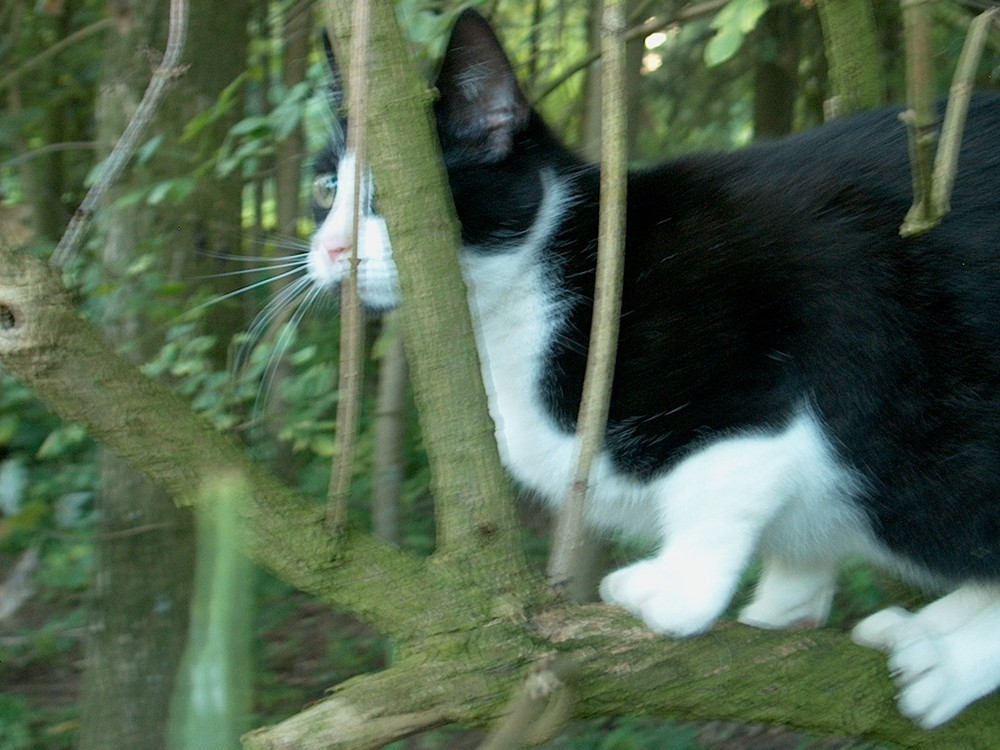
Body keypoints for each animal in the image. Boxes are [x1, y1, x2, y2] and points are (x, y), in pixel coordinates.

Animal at [306, 8, 1000, 732]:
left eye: (386, 196)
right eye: (326, 187)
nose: (330, 249)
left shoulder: (751, 373)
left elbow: (721, 476)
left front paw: (679, 589)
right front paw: (789, 600)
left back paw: (948, 662)